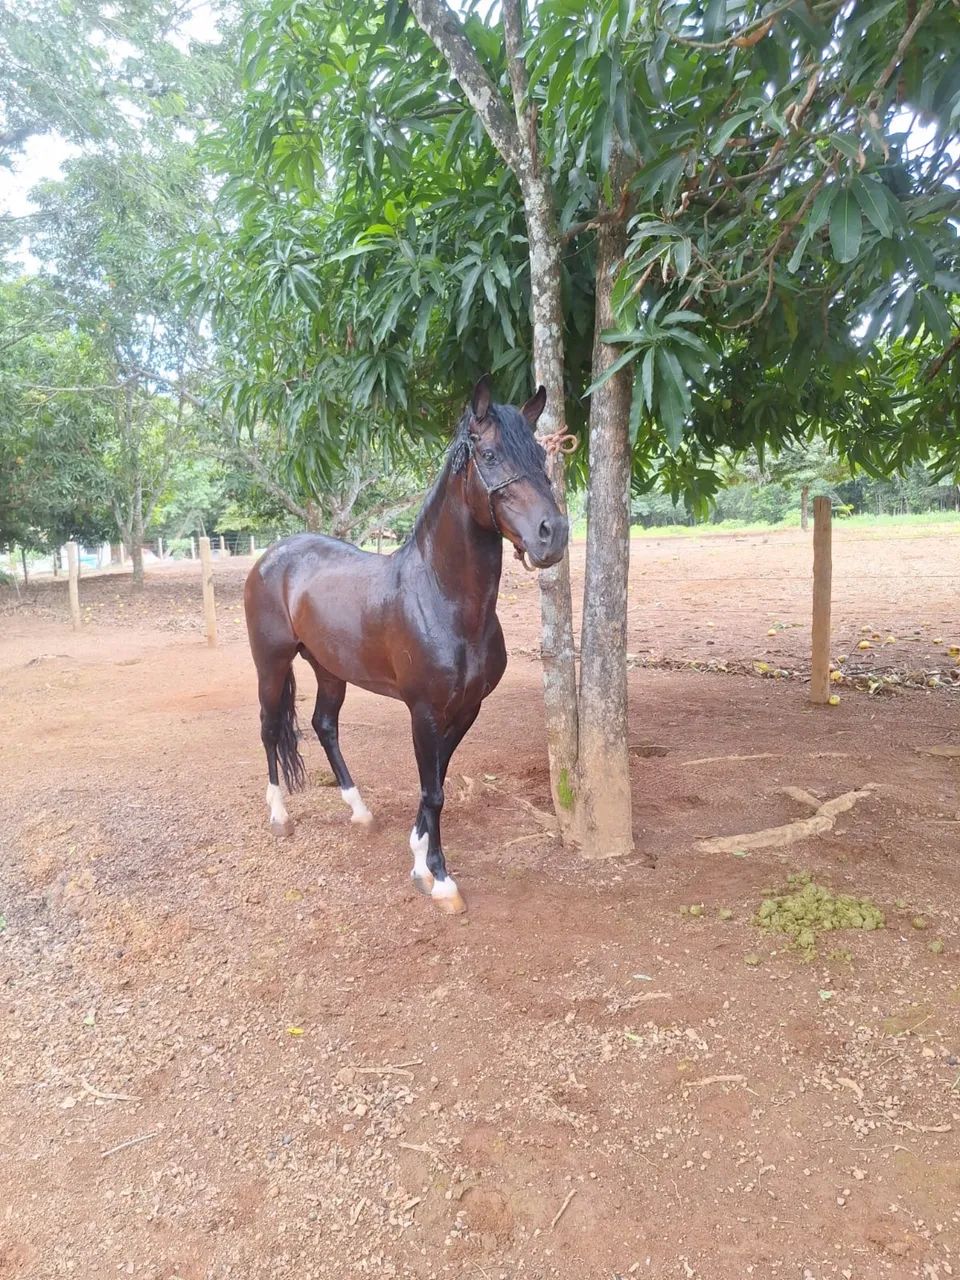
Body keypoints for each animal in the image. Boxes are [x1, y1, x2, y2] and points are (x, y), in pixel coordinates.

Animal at [243, 375, 569, 914]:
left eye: (542, 457)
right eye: (491, 455)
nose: (554, 534)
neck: (443, 599)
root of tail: (273, 555)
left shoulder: (466, 709)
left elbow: (434, 783)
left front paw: (418, 856)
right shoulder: (424, 711)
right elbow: (433, 791)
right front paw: (441, 879)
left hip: (329, 668)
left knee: (324, 725)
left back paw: (359, 810)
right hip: (271, 664)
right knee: (270, 729)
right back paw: (280, 816)